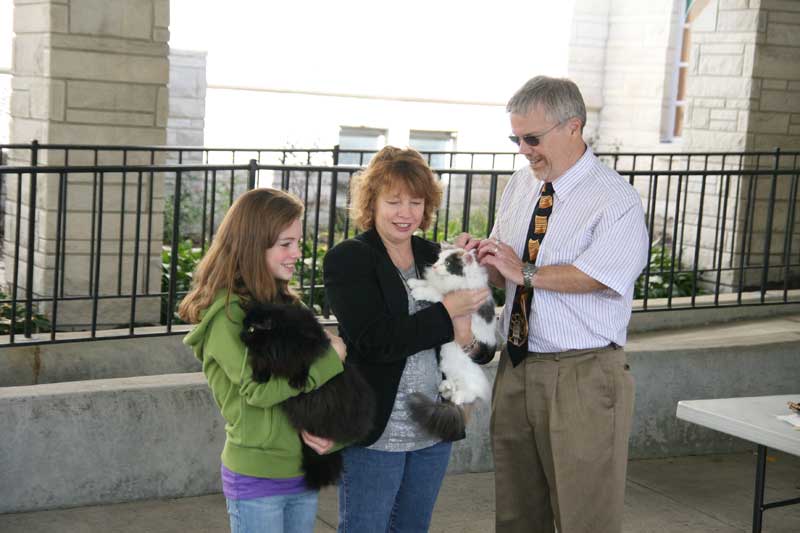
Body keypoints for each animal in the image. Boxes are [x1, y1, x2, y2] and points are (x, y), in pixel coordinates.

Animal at [241, 302, 376, 488]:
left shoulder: (309, 347)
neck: (282, 339)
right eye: (244, 326)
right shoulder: (268, 357)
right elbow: (261, 363)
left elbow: (303, 364)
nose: (240, 335)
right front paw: (260, 375)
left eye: (252, 329)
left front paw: (298, 379)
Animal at [410, 245, 496, 440]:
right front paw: (414, 282)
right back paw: (446, 387)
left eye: (448, 263)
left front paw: (418, 291)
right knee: (452, 389)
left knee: (467, 395)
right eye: (438, 259)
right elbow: (429, 283)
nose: (435, 266)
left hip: (471, 383)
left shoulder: (451, 299)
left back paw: (458, 396)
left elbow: (434, 292)